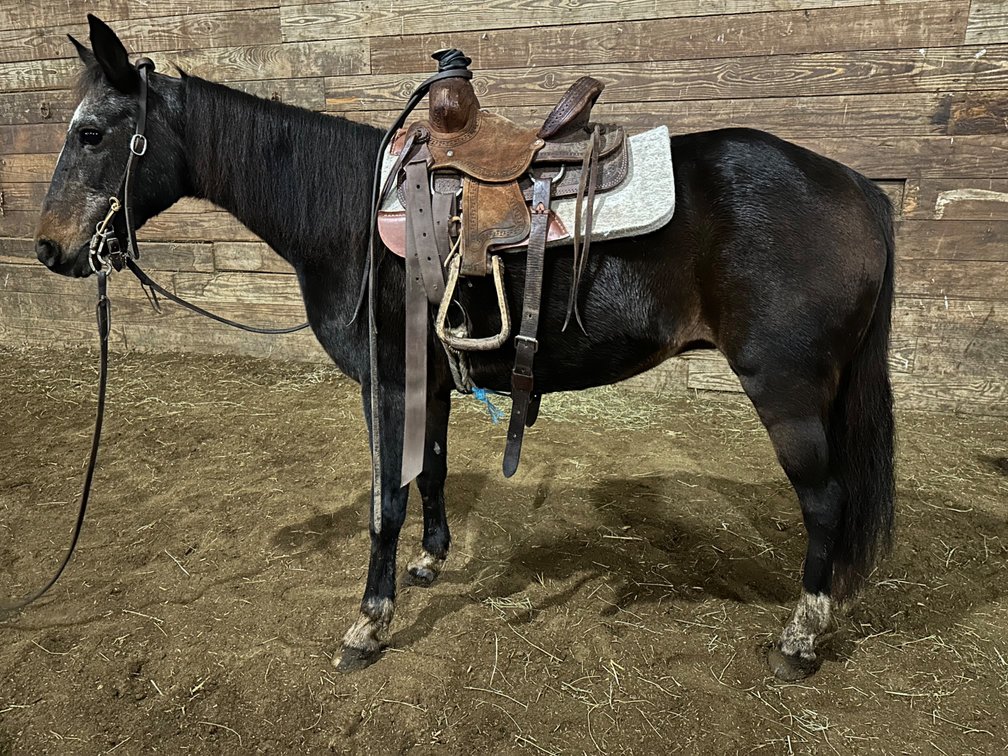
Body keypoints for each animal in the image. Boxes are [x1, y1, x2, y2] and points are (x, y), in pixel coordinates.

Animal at [35, 15, 894, 681]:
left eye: (92, 133)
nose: (49, 249)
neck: (352, 213)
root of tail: (858, 186)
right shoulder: (432, 380)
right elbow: (433, 470)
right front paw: (431, 559)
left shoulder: (386, 381)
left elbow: (386, 495)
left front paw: (370, 621)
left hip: (785, 388)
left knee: (825, 502)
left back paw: (799, 638)